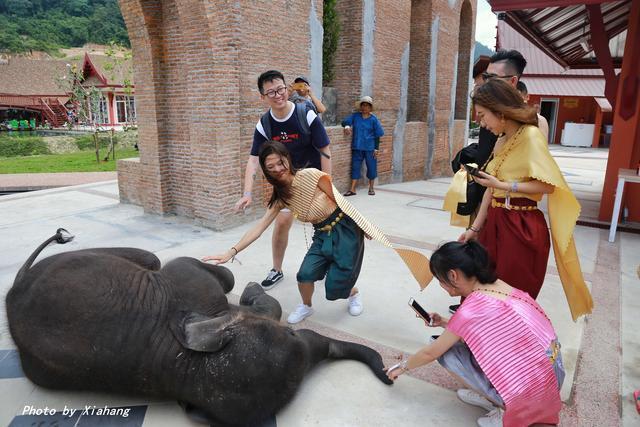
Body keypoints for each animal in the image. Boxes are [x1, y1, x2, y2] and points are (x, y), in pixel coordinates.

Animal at [6, 232, 390, 426]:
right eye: (292, 335)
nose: (387, 375)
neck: (184, 367)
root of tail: (12, 292)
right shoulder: (191, 288)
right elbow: (213, 273)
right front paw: (250, 289)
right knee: (150, 257)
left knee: (149, 257)